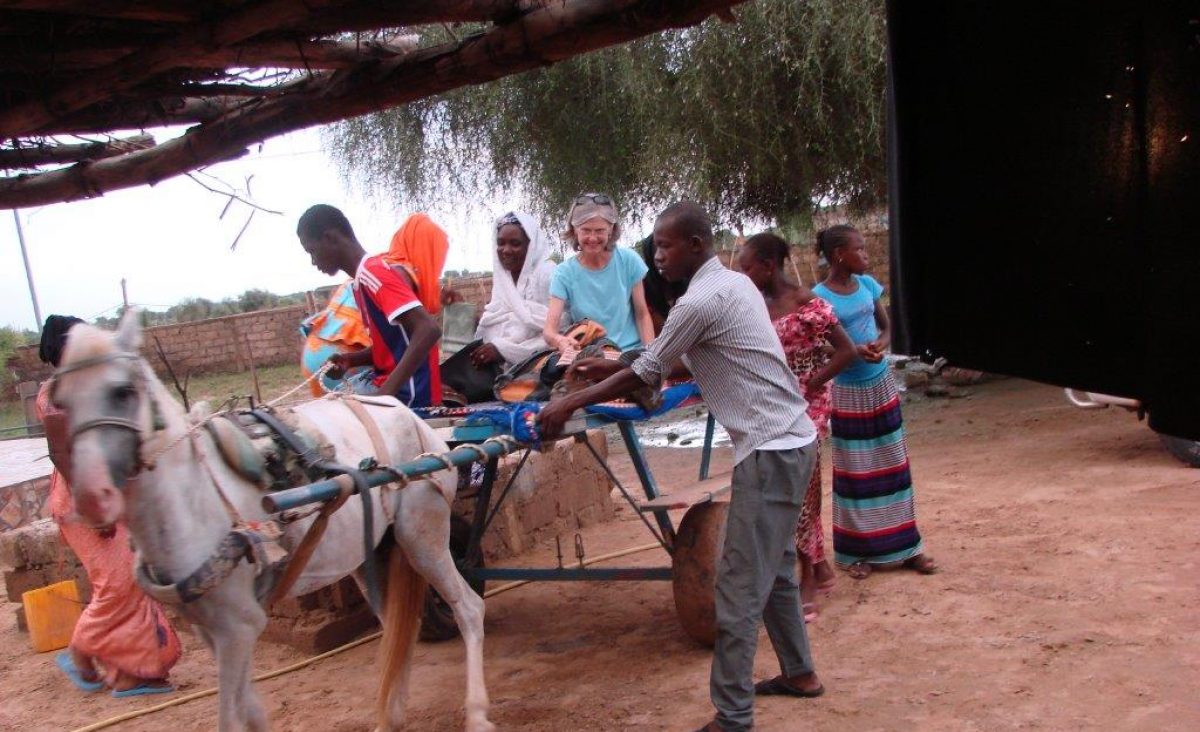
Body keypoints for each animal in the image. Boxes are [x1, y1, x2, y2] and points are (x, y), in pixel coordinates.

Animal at [51, 312, 492, 729]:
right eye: (60, 404)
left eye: (122, 392)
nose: (91, 499)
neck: (194, 501)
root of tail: (409, 415)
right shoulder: (211, 629)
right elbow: (250, 711)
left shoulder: (239, 627)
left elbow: (231, 718)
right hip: (374, 553)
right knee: (399, 626)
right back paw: (393, 715)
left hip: (422, 534)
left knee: (468, 608)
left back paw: (476, 713)